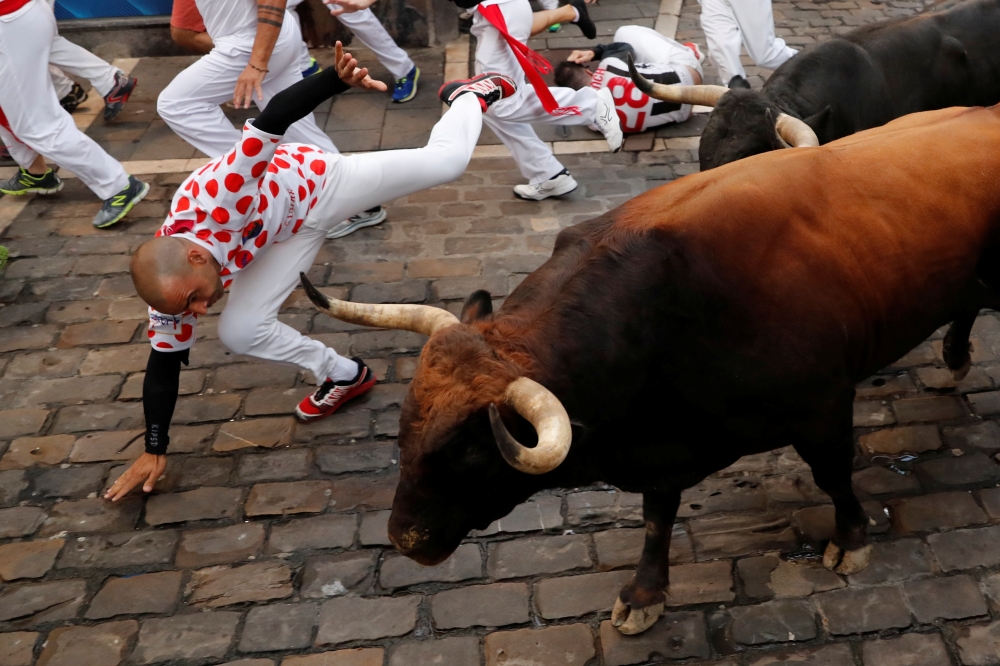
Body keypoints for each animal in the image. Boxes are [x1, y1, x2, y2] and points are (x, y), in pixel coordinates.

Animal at [300, 104, 1000, 632]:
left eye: (470, 451)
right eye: (404, 428)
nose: (405, 539)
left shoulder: (823, 407)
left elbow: (834, 477)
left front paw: (851, 540)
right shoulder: (661, 445)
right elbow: (658, 517)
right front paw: (643, 595)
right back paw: (955, 357)